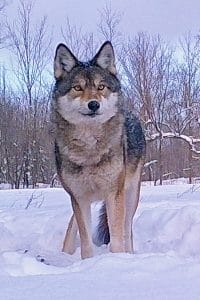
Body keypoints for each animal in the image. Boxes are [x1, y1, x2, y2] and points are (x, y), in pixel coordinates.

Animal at [51, 41, 145, 258]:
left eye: (101, 87)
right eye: (77, 88)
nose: (93, 104)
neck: (90, 146)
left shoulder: (114, 194)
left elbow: (117, 238)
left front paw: (117, 260)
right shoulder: (78, 197)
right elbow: (85, 241)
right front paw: (87, 263)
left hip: (130, 195)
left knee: (127, 230)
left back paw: (130, 254)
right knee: (72, 225)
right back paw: (65, 253)